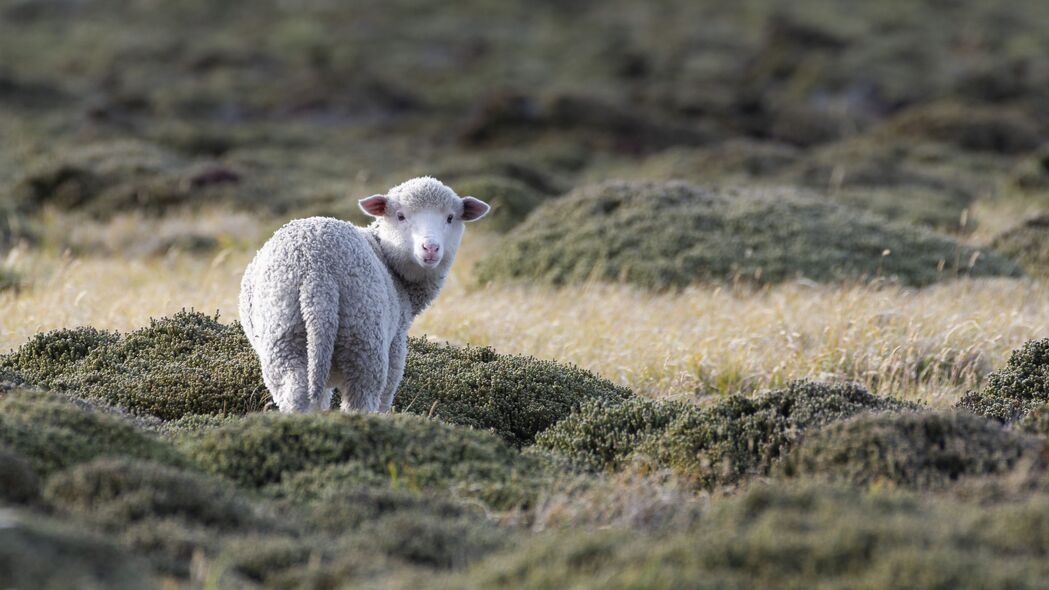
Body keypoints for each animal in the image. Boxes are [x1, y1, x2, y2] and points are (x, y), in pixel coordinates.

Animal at [241, 176, 490, 411]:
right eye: (400, 216)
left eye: (450, 218)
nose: (430, 249)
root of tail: (317, 272)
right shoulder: (396, 343)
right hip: (364, 340)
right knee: (362, 399)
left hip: (284, 335)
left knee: (295, 393)